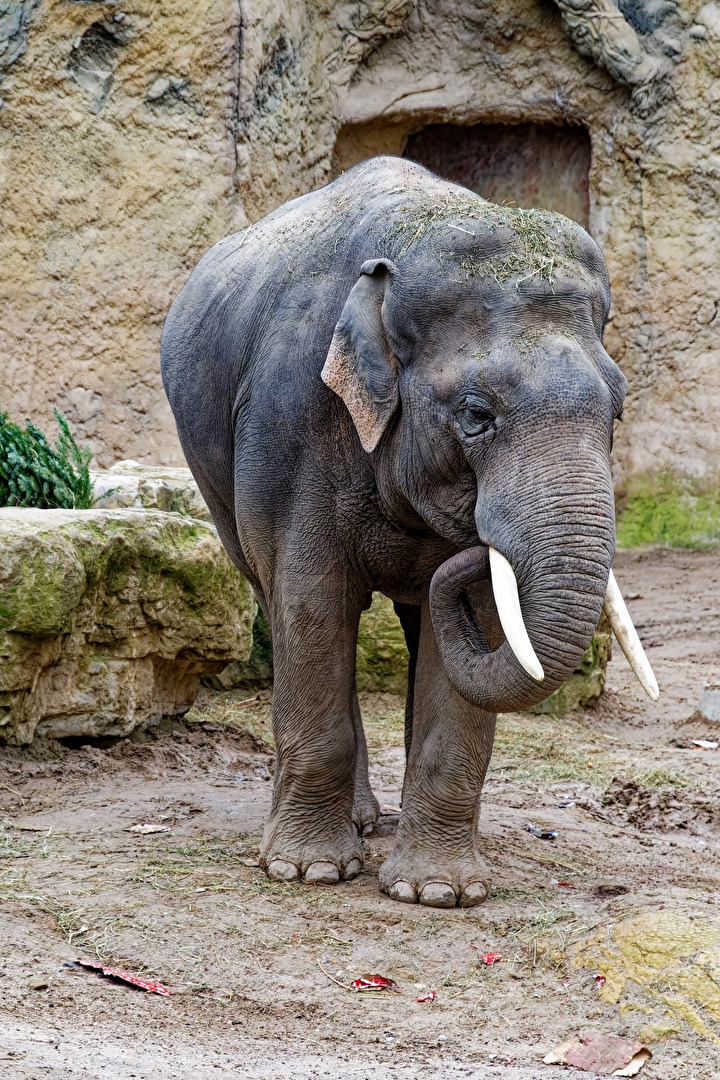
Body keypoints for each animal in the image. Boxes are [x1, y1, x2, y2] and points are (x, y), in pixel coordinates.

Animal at [161, 156, 657, 908]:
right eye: (476, 414)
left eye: (618, 410)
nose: (473, 543)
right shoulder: (290, 418)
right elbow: (312, 601)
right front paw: (307, 873)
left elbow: (483, 621)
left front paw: (438, 893)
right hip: (217, 484)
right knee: (282, 603)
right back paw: (349, 825)